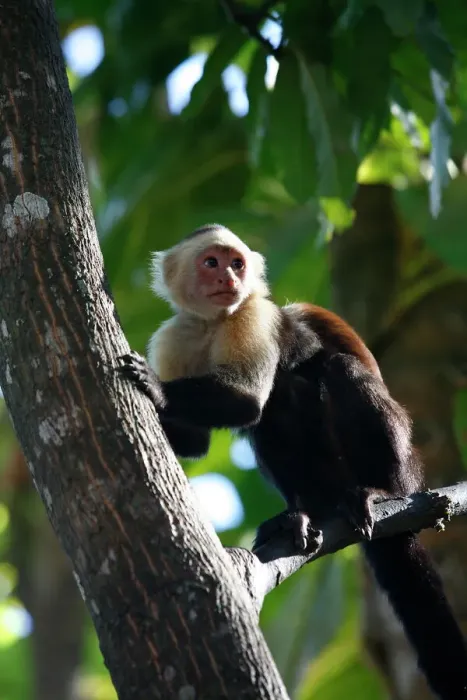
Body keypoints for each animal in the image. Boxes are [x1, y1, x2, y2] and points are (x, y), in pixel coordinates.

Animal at [119, 223, 467, 699]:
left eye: (237, 263)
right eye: (211, 262)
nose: (229, 278)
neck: (213, 324)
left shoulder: (253, 317)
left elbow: (247, 402)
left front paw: (155, 387)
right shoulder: (175, 336)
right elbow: (197, 442)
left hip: (406, 467)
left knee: (332, 372)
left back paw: (380, 492)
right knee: (276, 410)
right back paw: (300, 513)